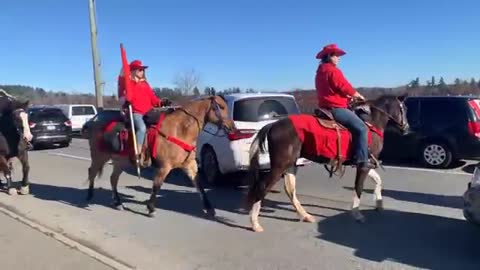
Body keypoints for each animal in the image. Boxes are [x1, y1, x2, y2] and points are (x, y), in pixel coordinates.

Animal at [87, 95, 237, 217]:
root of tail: (94, 123)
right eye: (221, 107)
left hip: (120, 162)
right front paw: (151, 208)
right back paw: (89, 195)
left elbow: (199, 185)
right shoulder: (164, 167)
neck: (180, 130)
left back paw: (117, 203)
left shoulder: (189, 165)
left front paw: (209, 208)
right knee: (92, 172)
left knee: (113, 179)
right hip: (99, 157)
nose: (232, 127)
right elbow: (157, 186)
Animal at [248, 94, 408, 231]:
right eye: (404, 109)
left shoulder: (366, 163)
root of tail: (272, 125)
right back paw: (255, 223)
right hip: (280, 165)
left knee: (290, 189)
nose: (406, 128)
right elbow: (359, 187)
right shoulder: (363, 166)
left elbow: (378, 180)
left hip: (290, 164)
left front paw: (379, 204)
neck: (371, 125)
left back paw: (305, 215)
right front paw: (357, 214)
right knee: (263, 187)